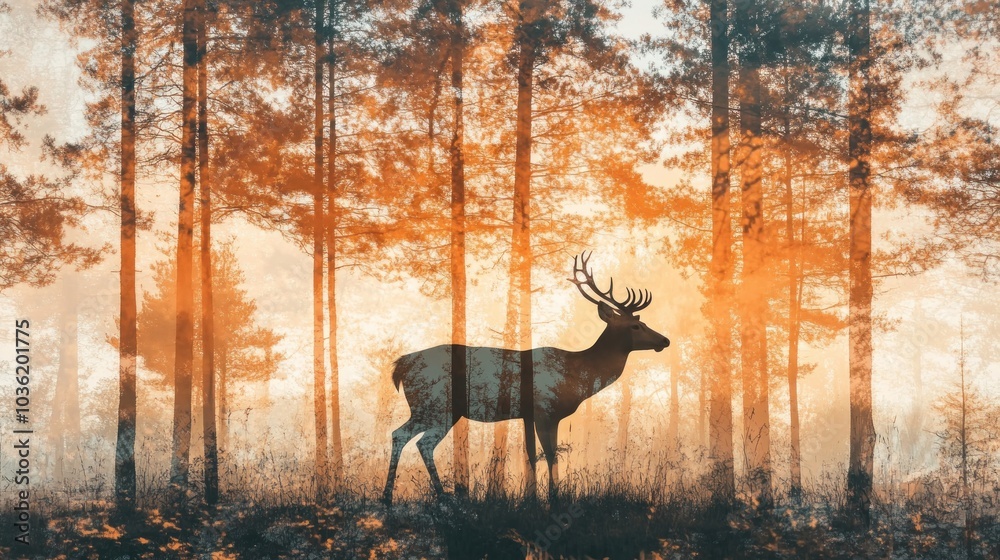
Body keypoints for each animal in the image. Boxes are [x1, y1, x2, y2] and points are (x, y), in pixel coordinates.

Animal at [381, 252, 669, 505]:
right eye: (636, 326)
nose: (665, 340)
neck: (576, 375)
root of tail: (400, 366)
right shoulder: (545, 409)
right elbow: (550, 454)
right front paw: (553, 498)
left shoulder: (530, 415)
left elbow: (532, 454)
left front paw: (531, 499)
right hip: (437, 405)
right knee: (414, 439)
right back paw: (428, 497)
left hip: (435, 409)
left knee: (409, 438)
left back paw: (400, 497)